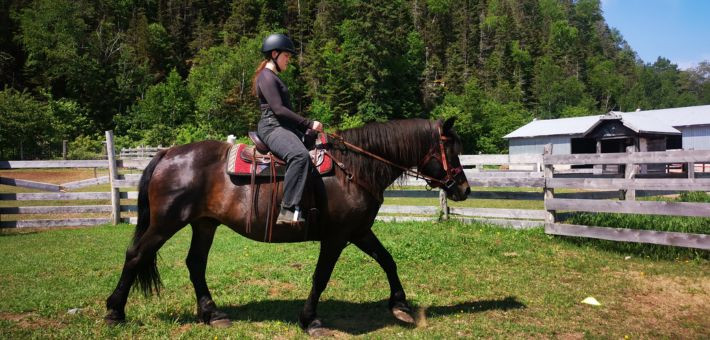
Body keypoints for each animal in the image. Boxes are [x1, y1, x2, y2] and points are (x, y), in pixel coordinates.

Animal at [104, 116, 472, 332]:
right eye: (451, 150)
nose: (464, 189)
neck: (353, 167)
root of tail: (167, 154)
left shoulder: (359, 231)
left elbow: (387, 260)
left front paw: (400, 305)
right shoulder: (337, 237)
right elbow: (321, 277)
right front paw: (310, 320)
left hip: (204, 224)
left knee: (195, 264)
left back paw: (213, 314)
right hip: (166, 224)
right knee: (135, 255)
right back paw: (115, 312)